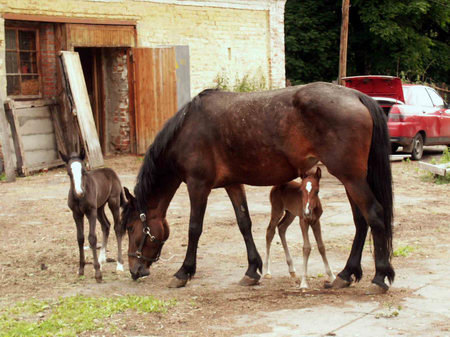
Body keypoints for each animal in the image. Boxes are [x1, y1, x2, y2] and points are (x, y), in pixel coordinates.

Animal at [59, 150, 125, 280]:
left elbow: (92, 238)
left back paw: (119, 265)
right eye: (69, 173)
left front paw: (97, 273)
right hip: (99, 207)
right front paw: (81, 269)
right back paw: (101, 259)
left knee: (117, 228)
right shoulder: (76, 214)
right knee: (106, 225)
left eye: (84, 171)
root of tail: (111, 171)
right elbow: (80, 238)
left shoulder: (91, 212)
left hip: (113, 202)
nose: (79, 193)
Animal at [120, 80, 394, 288]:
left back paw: (380, 276)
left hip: (351, 178)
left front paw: (184, 272)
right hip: (351, 180)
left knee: (374, 214)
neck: (188, 129)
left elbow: (194, 228)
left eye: (132, 228)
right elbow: (244, 223)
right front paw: (252, 270)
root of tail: (356, 96)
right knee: (361, 221)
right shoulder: (233, 184)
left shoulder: (198, 185)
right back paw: (346, 274)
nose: (134, 269)